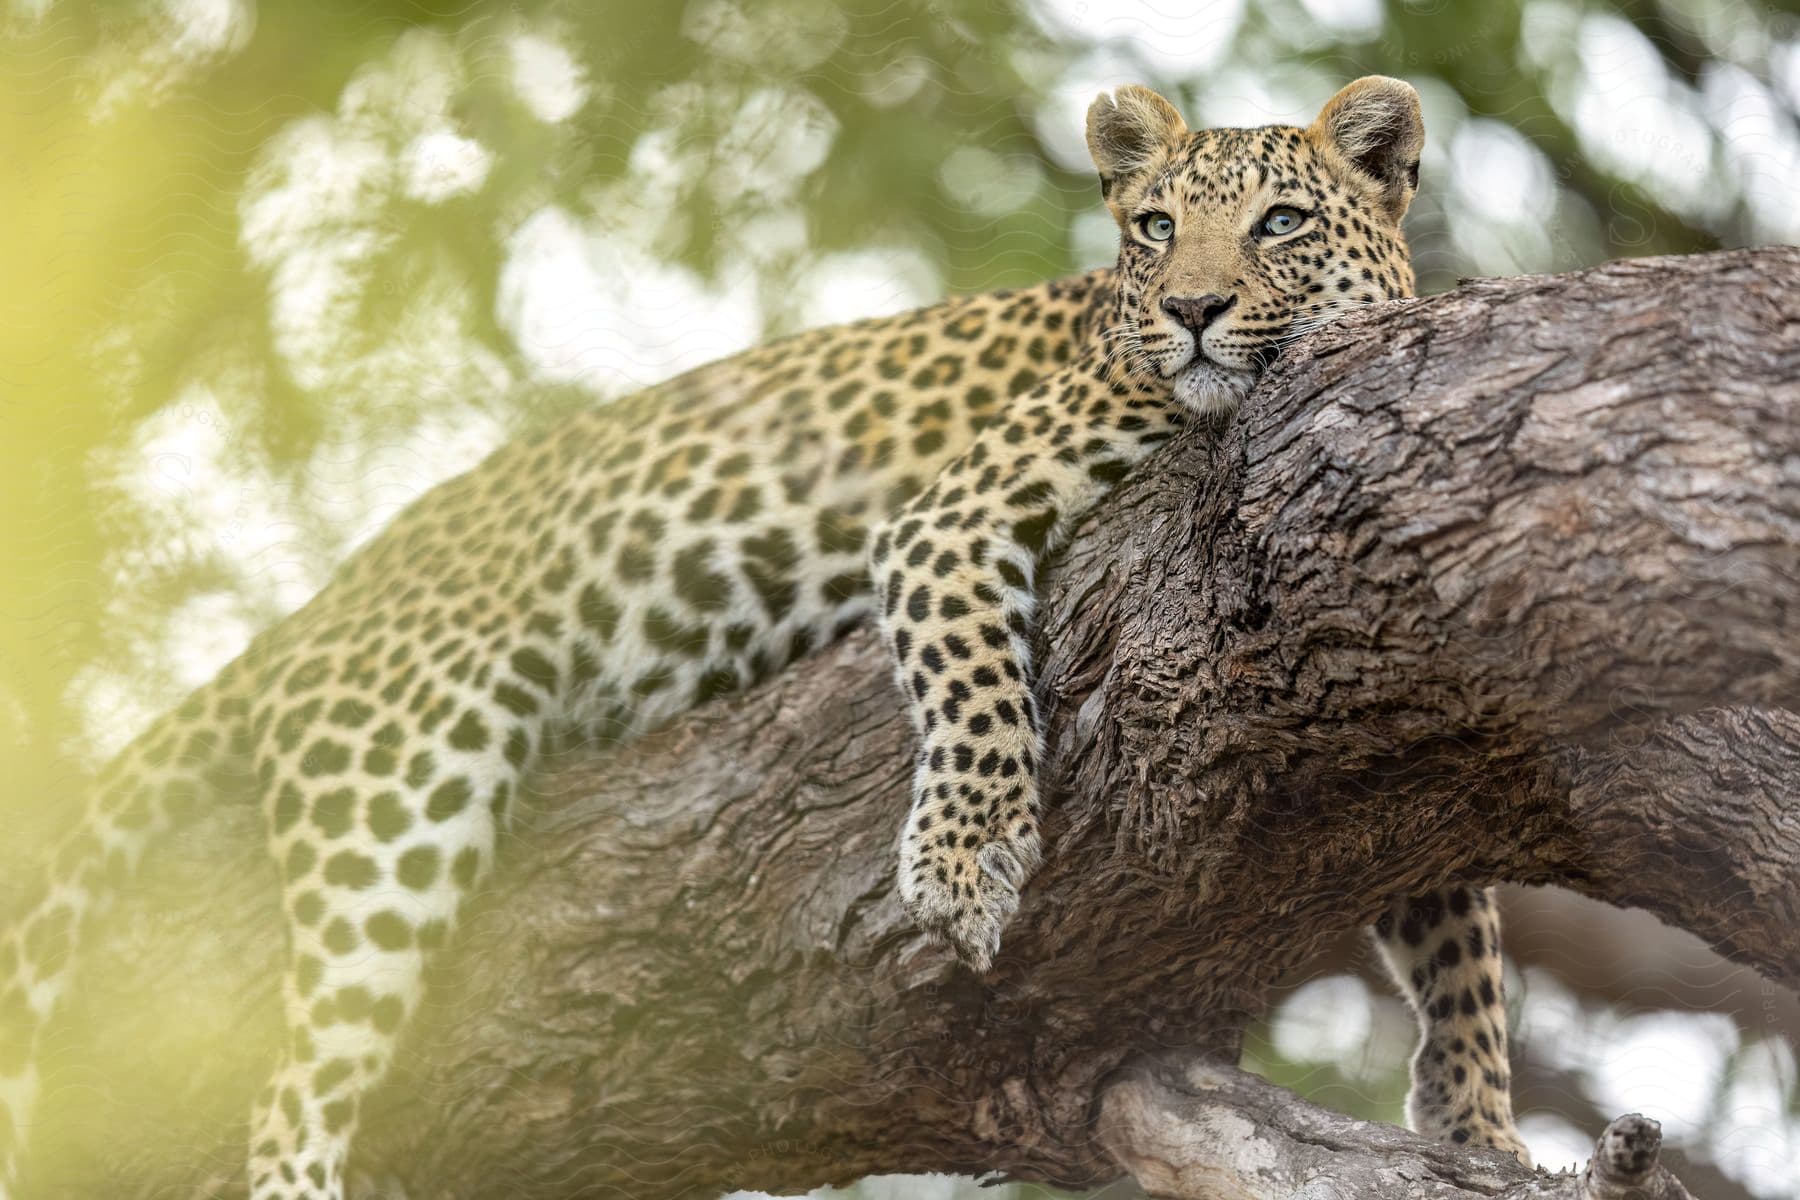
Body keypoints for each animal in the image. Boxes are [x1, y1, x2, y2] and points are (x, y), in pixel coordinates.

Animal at [0, 77, 1519, 1200]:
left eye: (1277, 222)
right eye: (1153, 227)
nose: (1191, 308)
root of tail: (332, 597)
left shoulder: (1388, 653)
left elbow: (1464, 914)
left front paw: (1480, 1119)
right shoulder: (943, 520)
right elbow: (972, 683)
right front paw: (962, 861)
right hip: (397, 791)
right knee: (296, 1085)